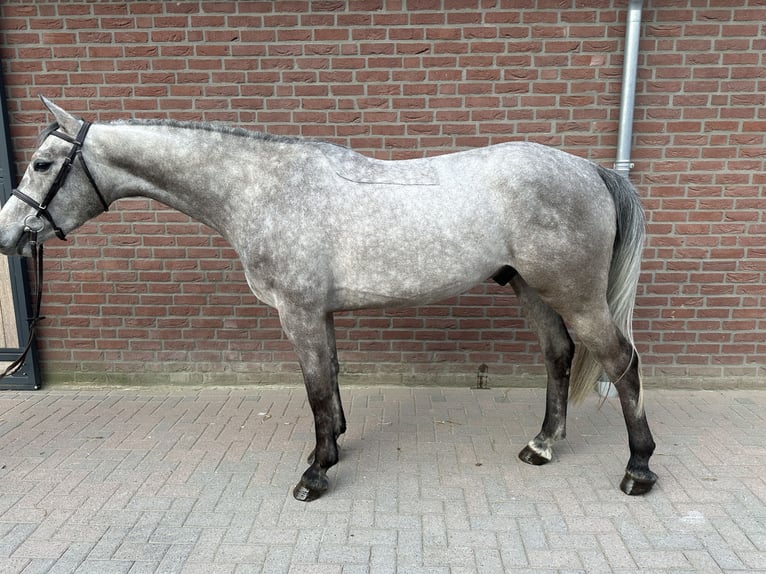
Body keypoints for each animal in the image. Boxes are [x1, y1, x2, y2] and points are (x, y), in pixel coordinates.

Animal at [0, 97, 657, 501]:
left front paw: (315, 473)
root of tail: (589, 169)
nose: (8, 235)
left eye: (43, 163)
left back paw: (639, 469)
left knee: (623, 364)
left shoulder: (299, 313)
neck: (264, 189)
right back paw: (542, 445)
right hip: (533, 290)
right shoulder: (321, 314)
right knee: (558, 355)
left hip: (574, 295)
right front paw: (336, 443)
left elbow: (315, 387)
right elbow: (332, 379)